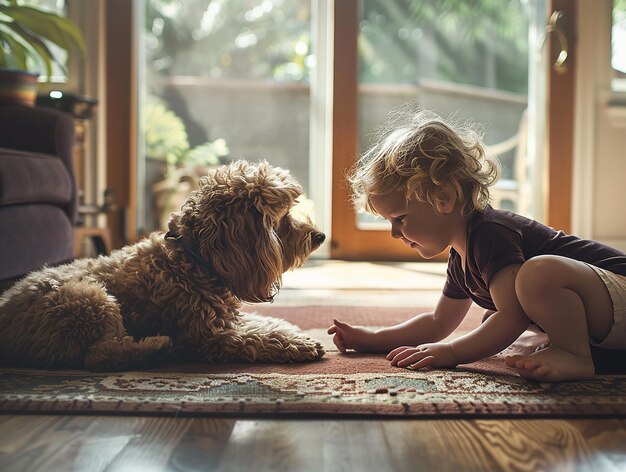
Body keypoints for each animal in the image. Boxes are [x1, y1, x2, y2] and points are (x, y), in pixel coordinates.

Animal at [1, 160, 326, 370]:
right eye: (281, 218)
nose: (320, 236)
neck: (193, 261)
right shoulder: (211, 336)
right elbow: (258, 337)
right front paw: (298, 344)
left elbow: (263, 322)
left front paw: (290, 328)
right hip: (88, 299)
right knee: (100, 356)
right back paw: (156, 348)